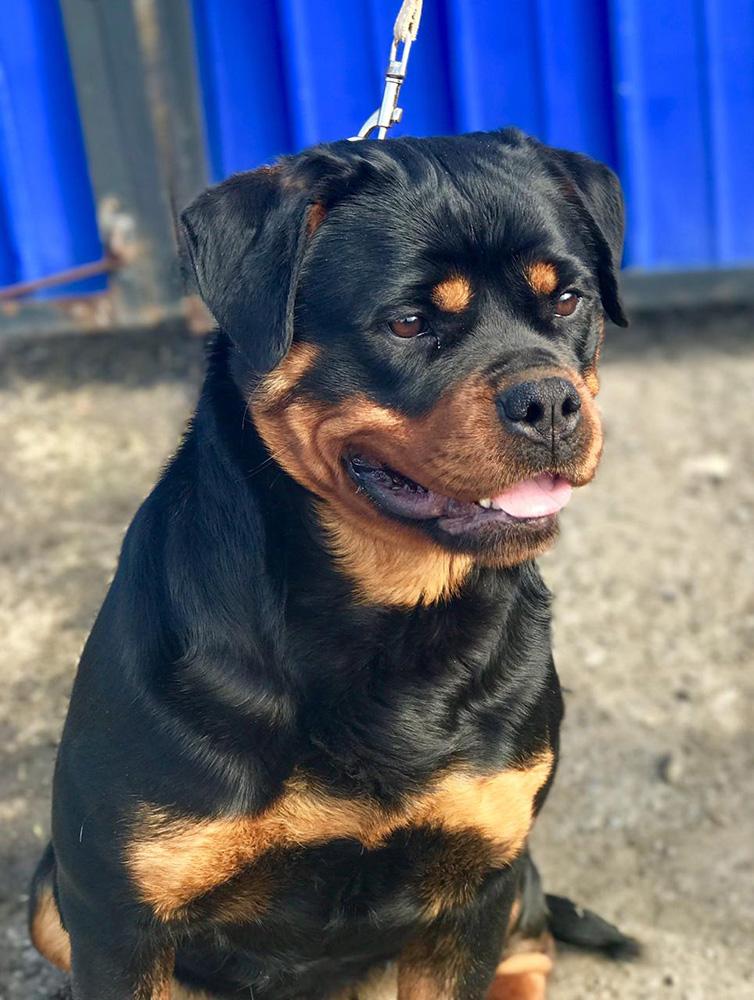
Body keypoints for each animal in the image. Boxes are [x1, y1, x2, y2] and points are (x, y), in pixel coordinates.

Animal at [29, 128, 637, 999]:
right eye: (409, 322)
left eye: (566, 301)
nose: (551, 402)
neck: (388, 611)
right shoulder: (116, 915)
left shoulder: (475, 885)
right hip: (50, 895)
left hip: (513, 879)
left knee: (532, 942)